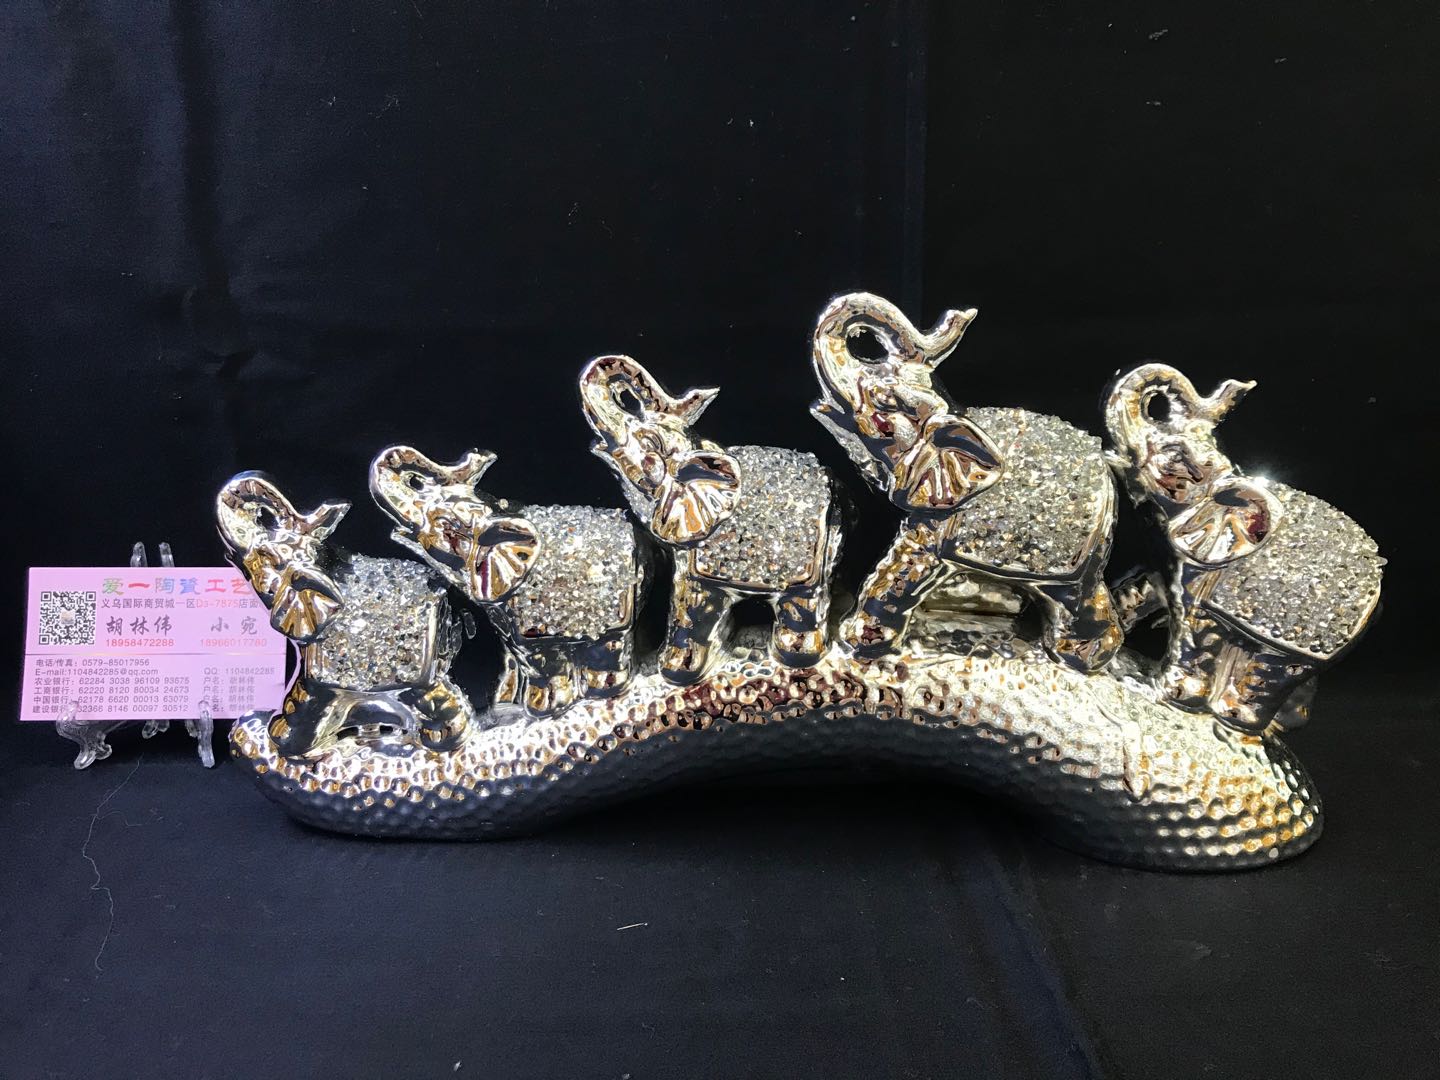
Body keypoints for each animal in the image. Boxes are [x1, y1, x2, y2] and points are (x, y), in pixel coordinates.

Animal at [216, 471, 474, 757]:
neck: (324, 566)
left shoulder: (319, 670)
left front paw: (281, 738)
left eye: (268, 558)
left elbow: (306, 706)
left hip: (421, 679)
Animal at [370, 445, 645, 717]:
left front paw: (544, 709)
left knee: (609, 647)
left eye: (446, 524)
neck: (500, 514)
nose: (479, 453)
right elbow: (513, 653)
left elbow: (541, 660)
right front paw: (508, 702)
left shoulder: (530, 621)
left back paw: (607, 690)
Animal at [578, 354, 842, 684]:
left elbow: (693, 606)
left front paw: (675, 674)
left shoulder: (698, 554)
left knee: (801, 603)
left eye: (648, 443)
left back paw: (796, 656)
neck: (702, 451)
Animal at [809, 291, 1122, 670]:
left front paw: (857, 642)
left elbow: (909, 563)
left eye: (883, 404)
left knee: (1076, 598)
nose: (961, 314)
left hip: (1078, 554)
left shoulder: (942, 515)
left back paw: (1078, 659)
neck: (954, 413)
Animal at [1104, 363, 1384, 732]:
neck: (1229, 479)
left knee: (1271, 671)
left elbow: (1193, 628)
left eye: (1174, 458)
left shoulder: (1204, 576)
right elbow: (1148, 586)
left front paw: (1153, 690)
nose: (1246, 383)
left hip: (1301, 642)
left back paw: (1237, 721)